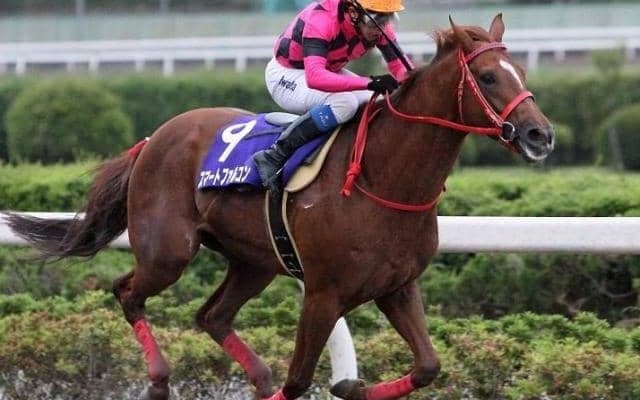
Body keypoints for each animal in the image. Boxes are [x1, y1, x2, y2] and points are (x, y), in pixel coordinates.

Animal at [5, 14, 554, 400]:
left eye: (522, 71)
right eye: (488, 77)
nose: (539, 135)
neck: (383, 179)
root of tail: (154, 137)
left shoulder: (398, 287)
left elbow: (427, 367)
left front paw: (351, 386)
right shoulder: (323, 295)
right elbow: (299, 381)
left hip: (255, 262)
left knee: (212, 316)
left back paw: (255, 377)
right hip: (167, 252)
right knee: (127, 292)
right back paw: (159, 380)